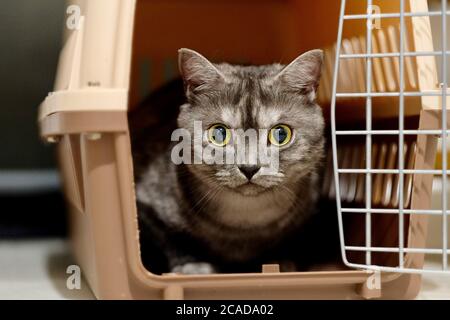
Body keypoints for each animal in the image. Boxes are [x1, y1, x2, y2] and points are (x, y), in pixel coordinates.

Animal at [128, 48, 328, 274]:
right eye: (219, 133)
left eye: (281, 134)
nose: (249, 167)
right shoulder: (144, 202)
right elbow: (172, 240)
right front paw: (193, 266)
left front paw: (279, 262)